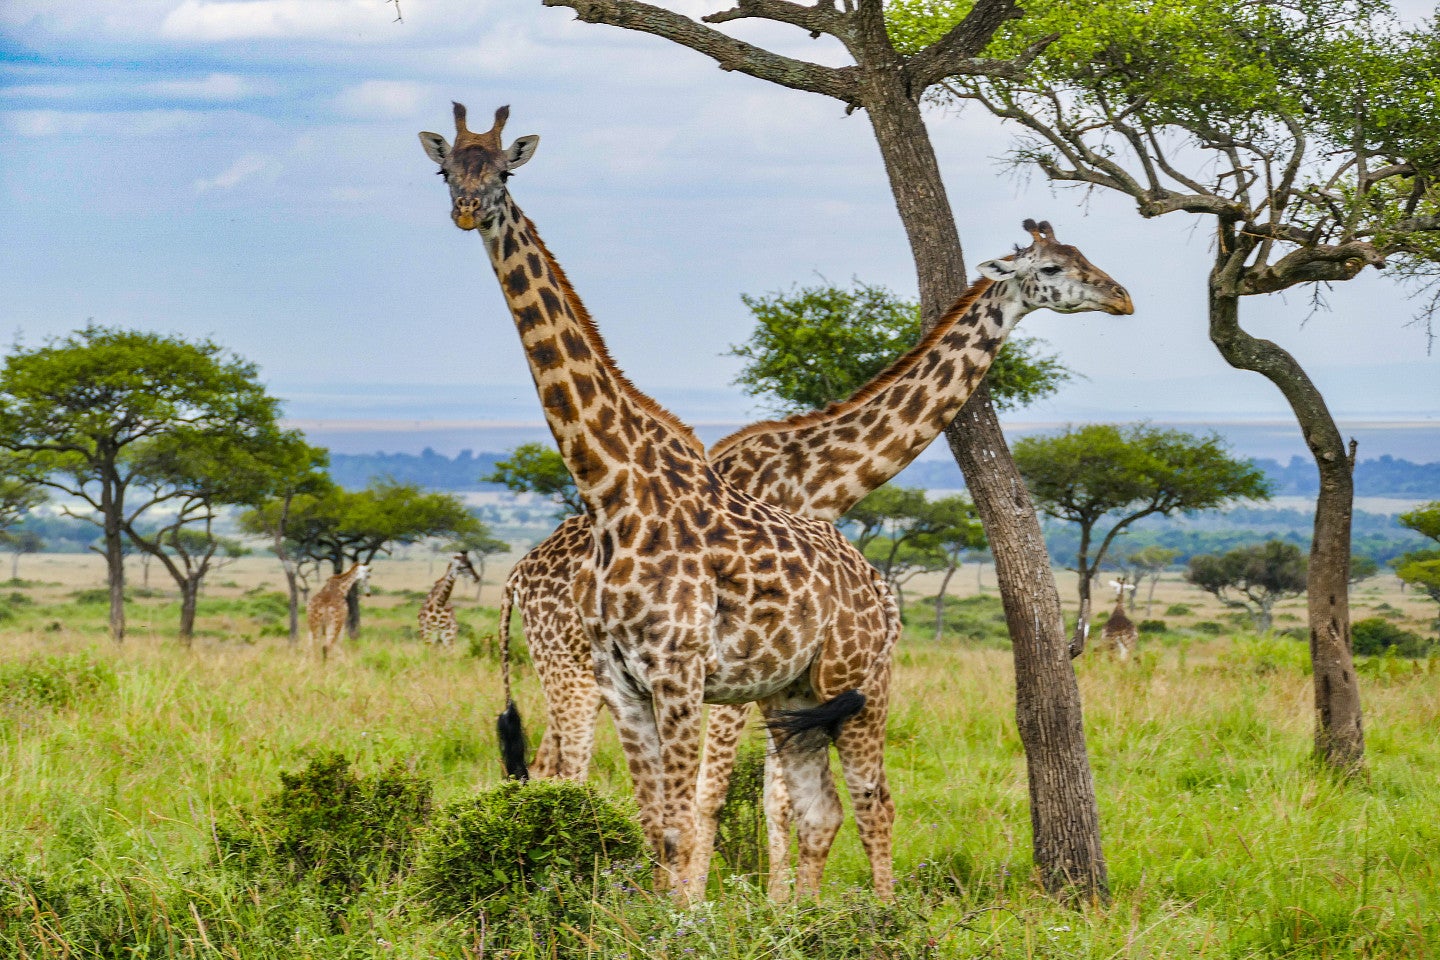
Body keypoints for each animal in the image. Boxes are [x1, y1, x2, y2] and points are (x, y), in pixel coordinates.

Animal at [420, 105, 904, 903]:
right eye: (445, 169)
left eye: (503, 172)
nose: (466, 210)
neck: (612, 488)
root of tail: (879, 586)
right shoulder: (625, 684)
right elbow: (653, 827)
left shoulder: (679, 675)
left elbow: (678, 826)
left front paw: (686, 919)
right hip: (793, 695)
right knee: (820, 809)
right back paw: (806, 921)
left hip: (862, 684)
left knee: (875, 802)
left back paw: (885, 920)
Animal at [495, 220, 1134, 892]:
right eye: (1055, 267)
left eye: (1084, 255)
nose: (1120, 296)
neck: (821, 478)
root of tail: (515, 579)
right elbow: (717, 794)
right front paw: (712, 900)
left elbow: (777, 797)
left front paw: (773, 901)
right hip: (573, 671)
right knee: (565, 767)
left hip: (568, 672)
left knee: (547, 762)